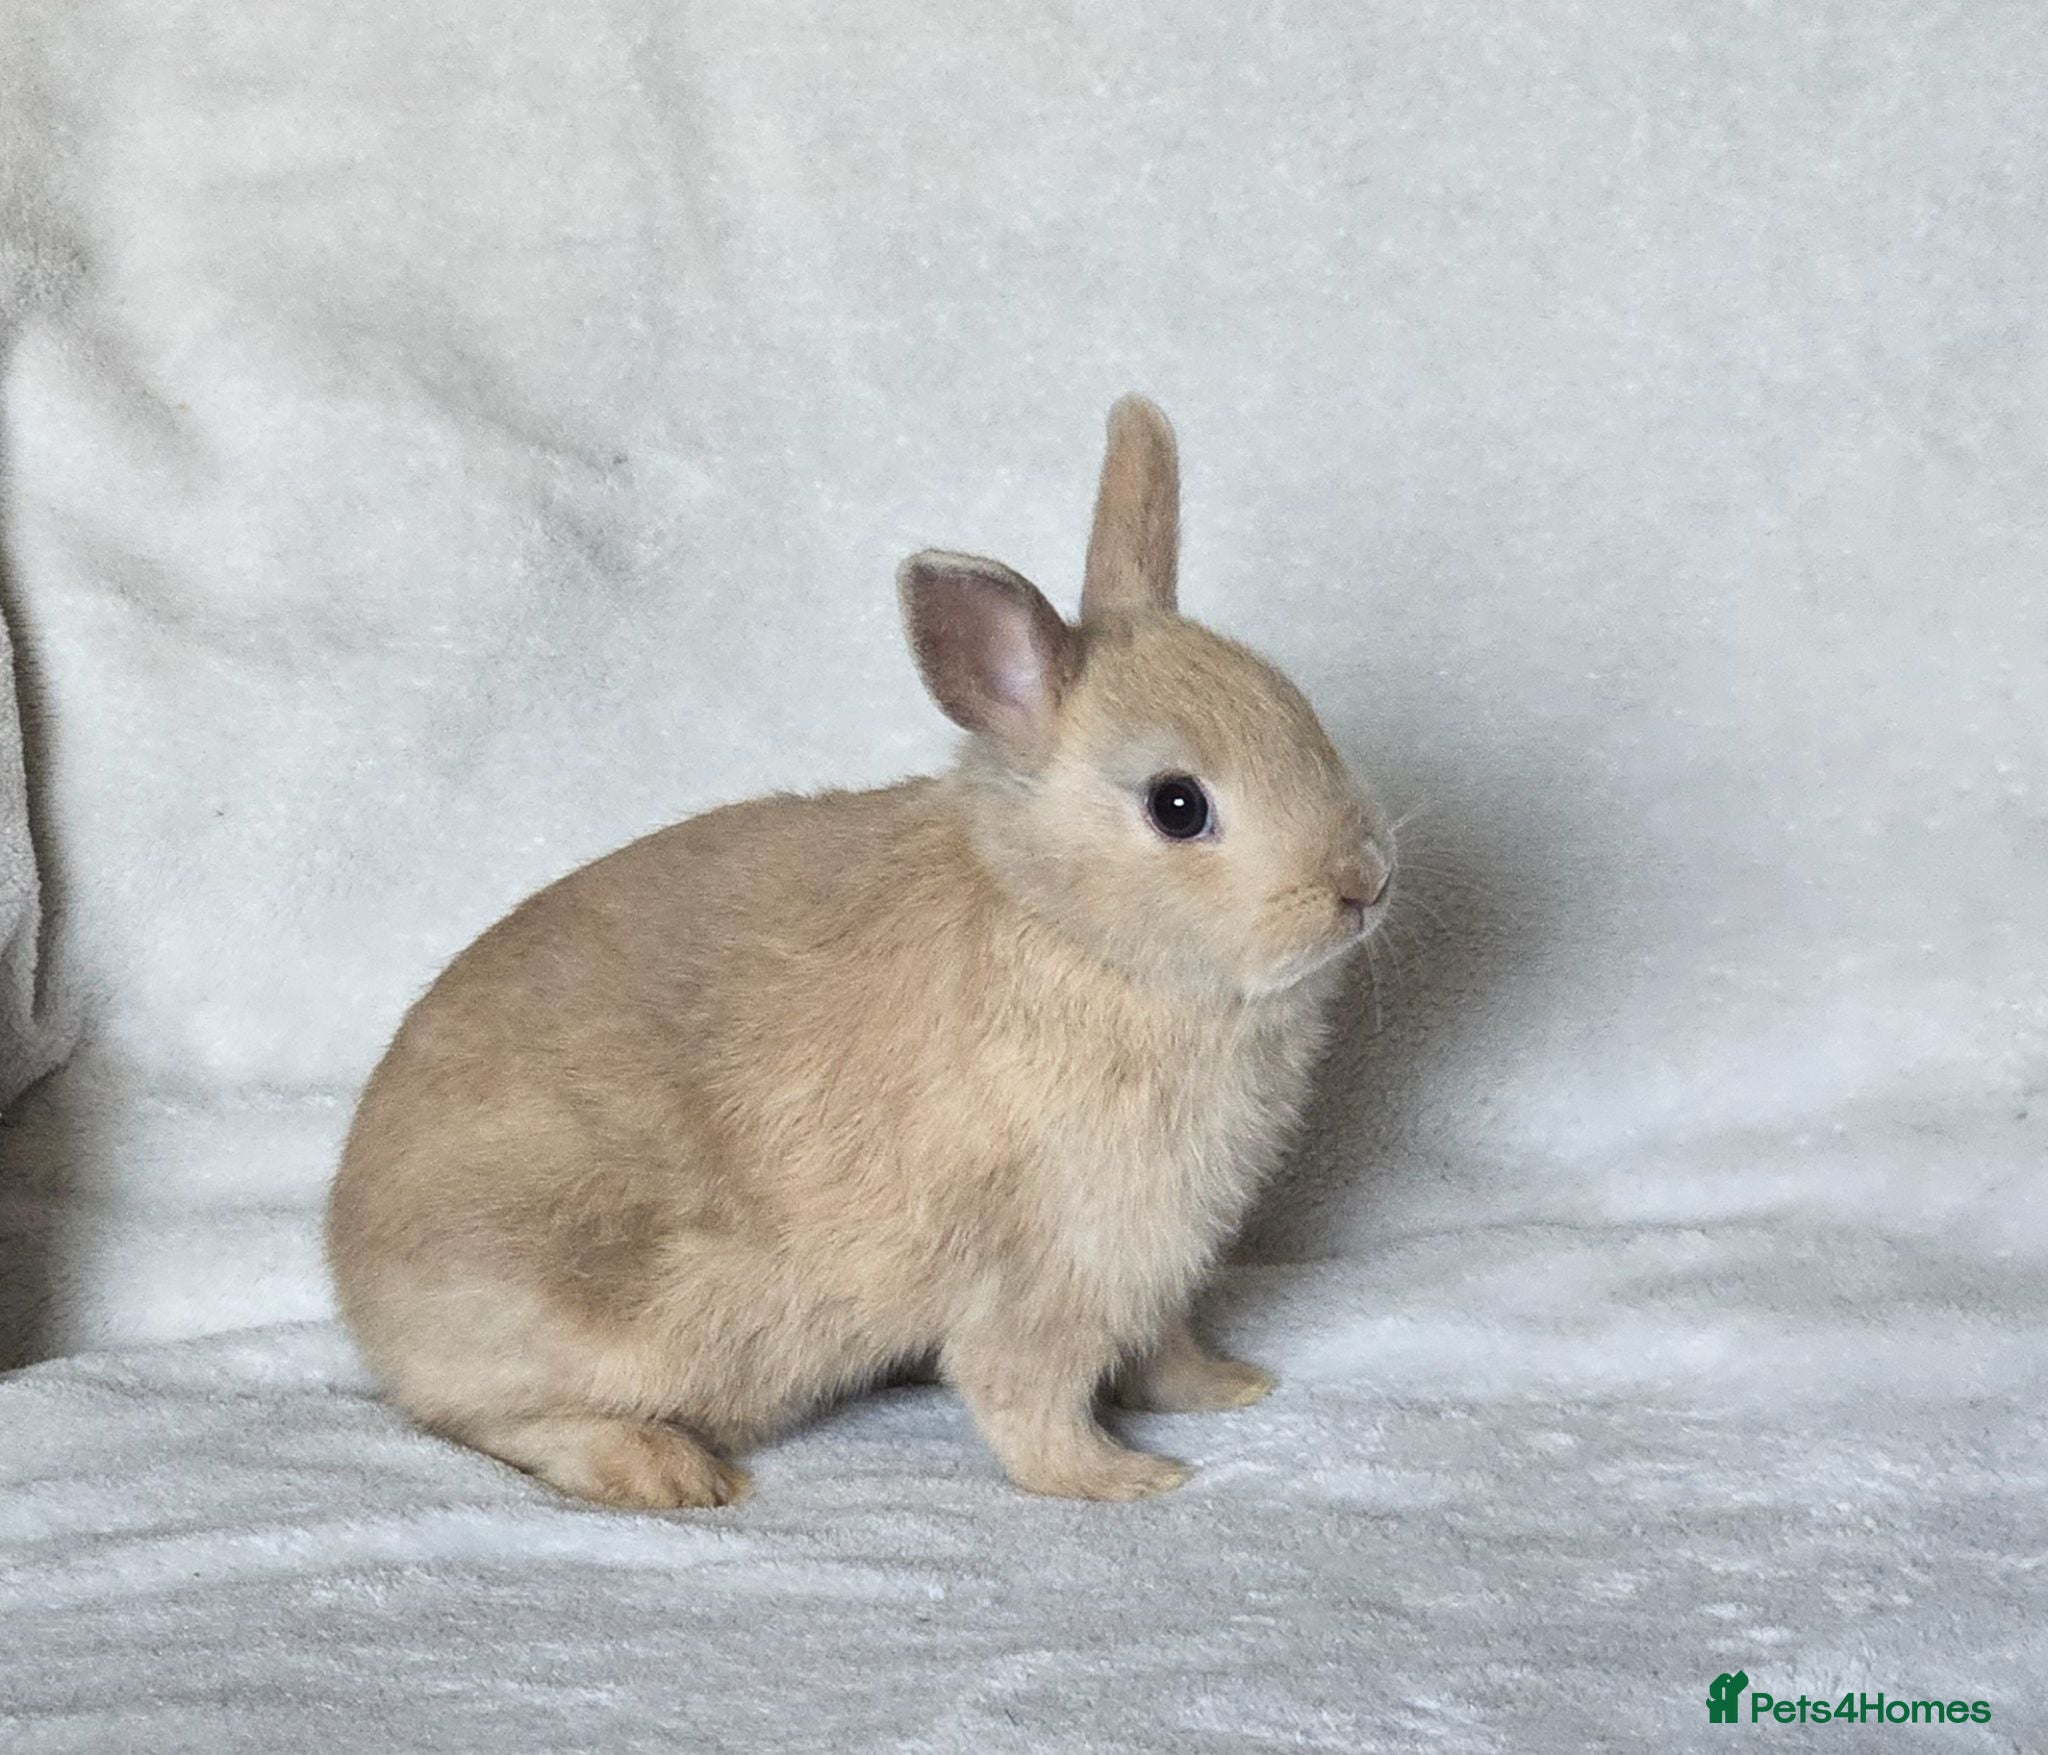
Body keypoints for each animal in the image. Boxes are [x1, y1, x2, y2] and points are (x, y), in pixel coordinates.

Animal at [326, 395, 1394, 1508]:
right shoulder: (1049, 1265)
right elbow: (1029, 1396)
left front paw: (1229, 1387)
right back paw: (671, 1472)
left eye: (1304, 716)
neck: (1065, 926)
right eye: (1177, 806)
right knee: (485, 1422)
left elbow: (1163, 1349)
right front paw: (1124, 1479)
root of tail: (358, 1285)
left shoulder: (1150, 1268)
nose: (1363, 885)